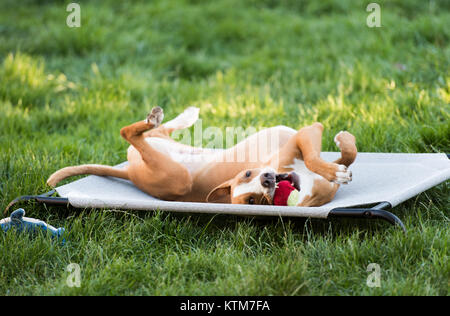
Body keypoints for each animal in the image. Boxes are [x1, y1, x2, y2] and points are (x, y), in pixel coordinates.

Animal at [47, 107, 356, 207]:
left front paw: (343, 144)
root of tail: (129, 172)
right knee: (128, 132)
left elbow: (346, 154)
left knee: (155, 131)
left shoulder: (307, 135)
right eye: (252, 200)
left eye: (248, 172)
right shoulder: (305, 135)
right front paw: (337, 170)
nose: (268, 179)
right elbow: (329, 160)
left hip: (163, 146)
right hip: (176, 177)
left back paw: (181, 115)